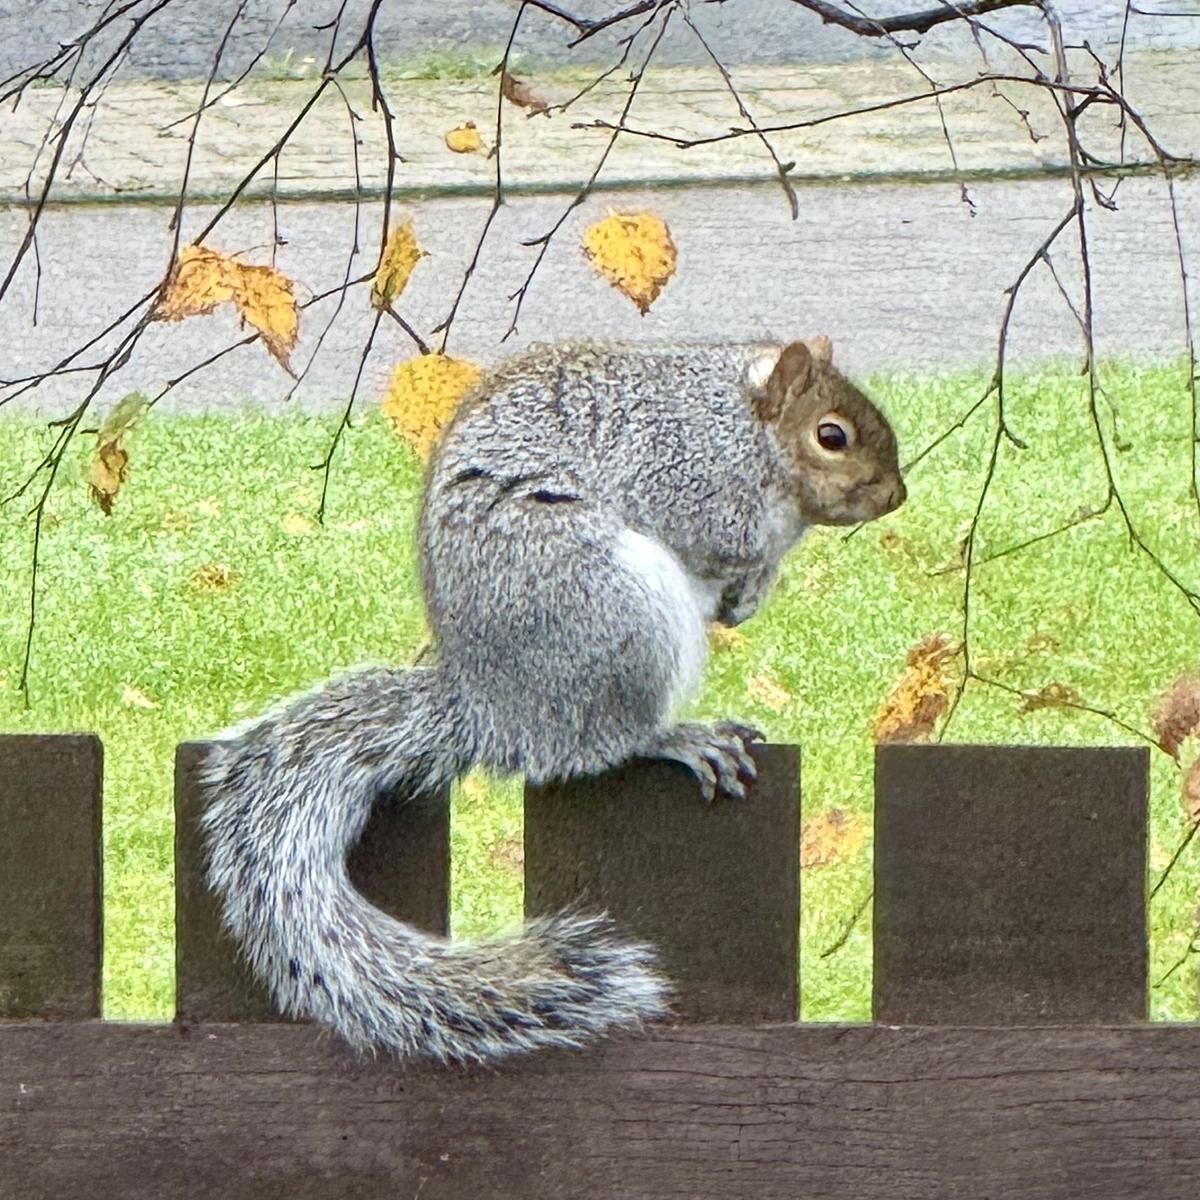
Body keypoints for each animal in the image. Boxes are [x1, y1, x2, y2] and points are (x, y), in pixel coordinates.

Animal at [197, 337, 905, 1065]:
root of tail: (495, 712)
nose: (894, 495)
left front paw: (749, 596)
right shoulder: (689, 471)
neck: (741, 416)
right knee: (604, 742)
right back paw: (678, 737)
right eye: (831, 435)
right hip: (610, 610)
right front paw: (762, 564)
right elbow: (732, 535)